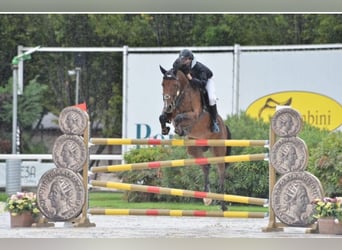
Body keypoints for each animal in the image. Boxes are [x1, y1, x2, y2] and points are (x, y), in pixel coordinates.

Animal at [159, 65, 231, 210]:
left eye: (175, 85)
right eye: (163, 84)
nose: (167, 106)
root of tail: (224, 125)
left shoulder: (194, 115)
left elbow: (179, 117)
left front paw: (179, 129)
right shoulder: (172, 111)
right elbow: (164, 117)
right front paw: (165, 129)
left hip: (218, 149)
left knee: (221, 171)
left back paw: (223, 205)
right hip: (193, 148)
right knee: (206, 166)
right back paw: (207, 198)